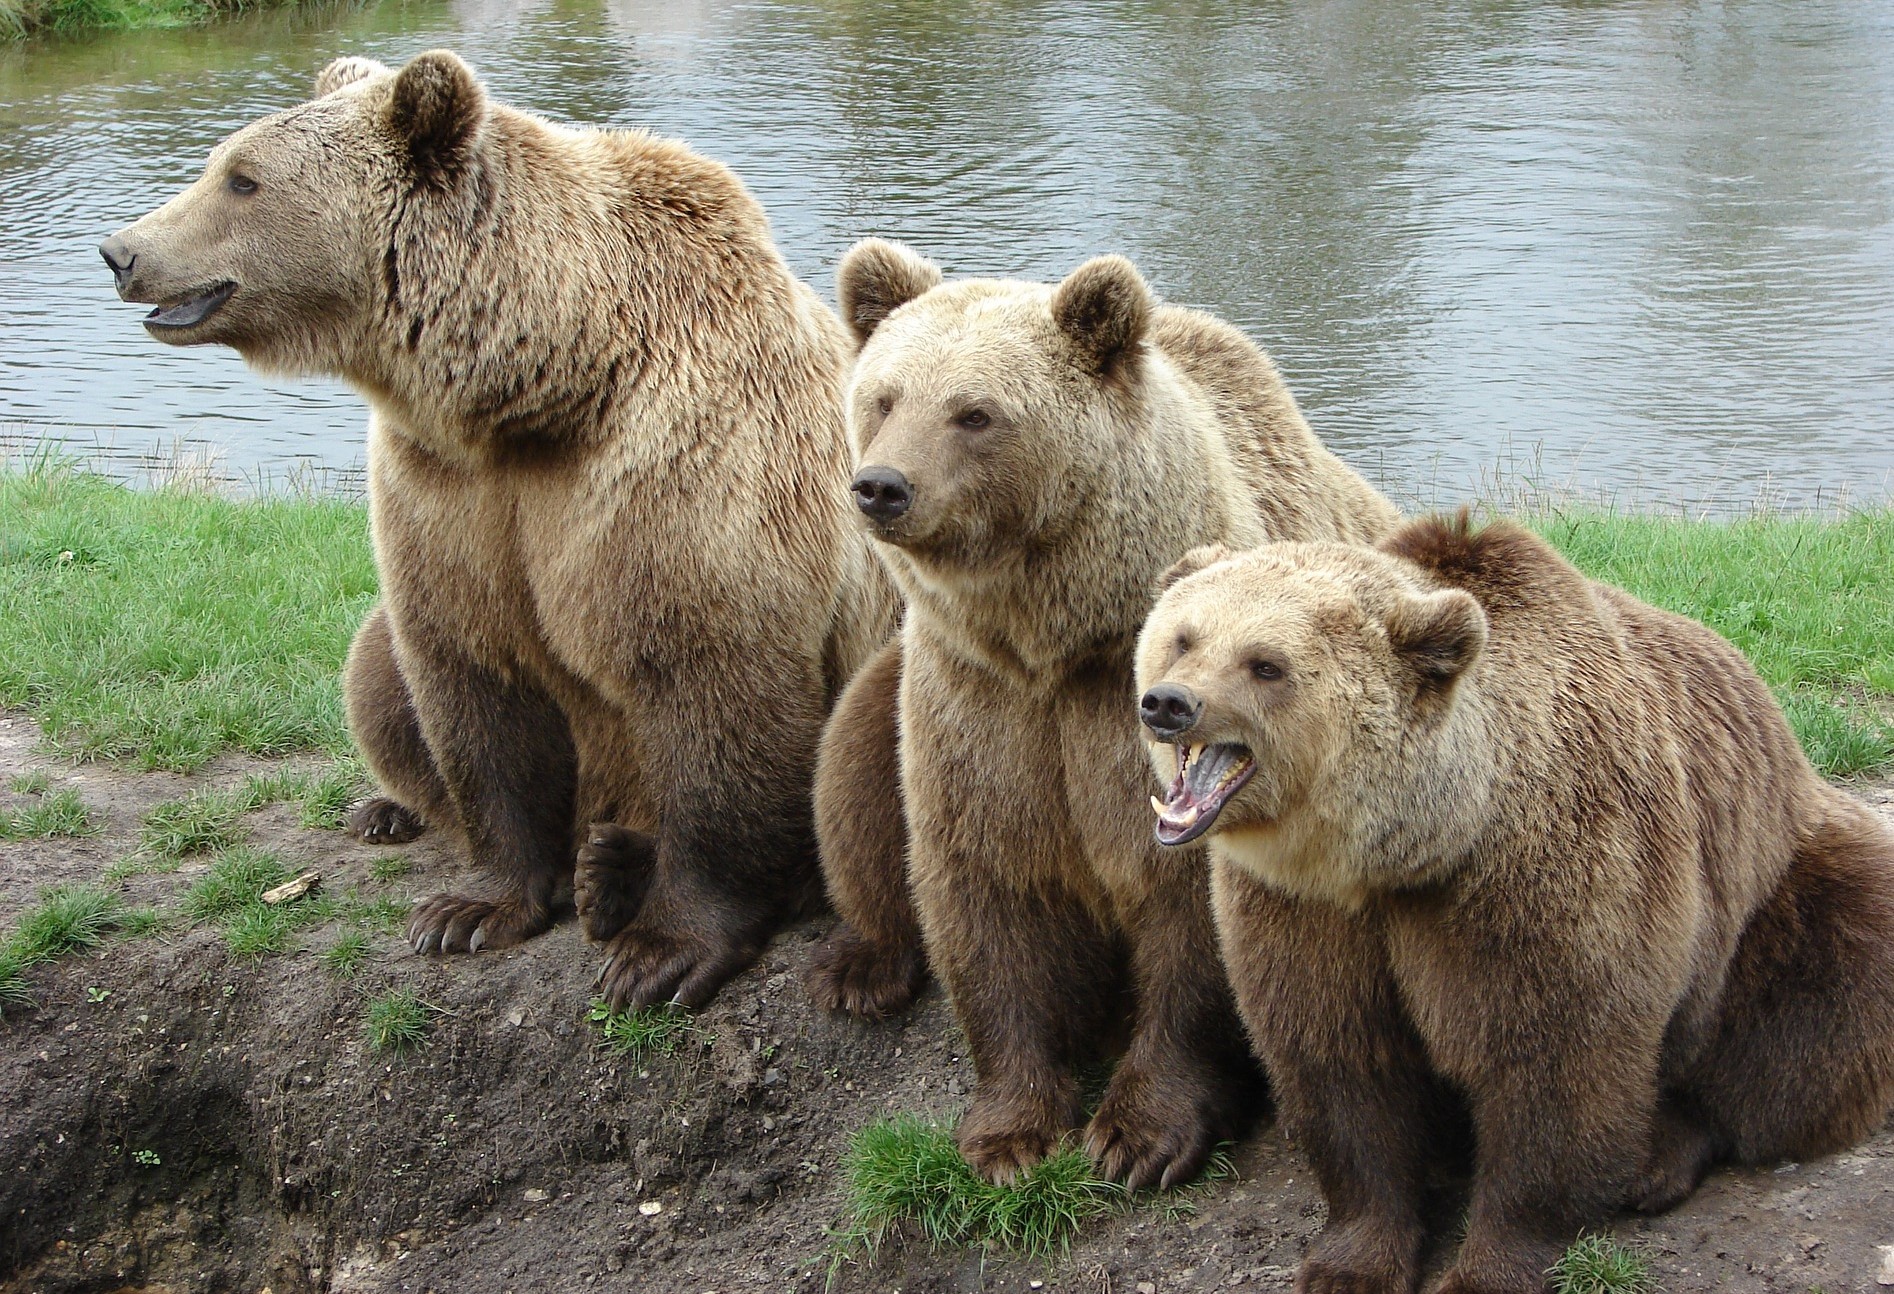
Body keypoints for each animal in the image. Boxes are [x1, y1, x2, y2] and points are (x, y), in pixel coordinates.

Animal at [99, 50, 897, 1007]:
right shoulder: (449, 495)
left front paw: (661, 952)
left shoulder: (683, 476)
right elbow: (471, 681)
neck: (544, 388)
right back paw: (409, 813)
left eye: (242, 178)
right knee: (373, 668)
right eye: (225, 161)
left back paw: (618, 869)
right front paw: (469, 910)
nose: (121, 251)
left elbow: (711, 685)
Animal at [818, 237, 1409, 1189]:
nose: (882, 486)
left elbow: (1190, 917)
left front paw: (1140, 1134)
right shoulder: (981, 702)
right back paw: (859, 966)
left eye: (974, 413)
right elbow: (989, 888)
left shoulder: (1129, 721)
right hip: (891, 680)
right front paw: (1010, 1133)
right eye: (883, 396)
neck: (1057, 641)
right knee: (851, 766)